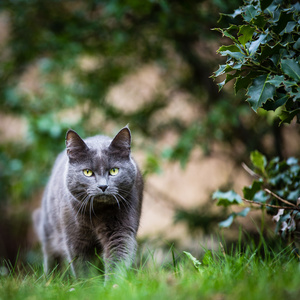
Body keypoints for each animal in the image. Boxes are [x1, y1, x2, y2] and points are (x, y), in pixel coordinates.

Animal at [33, 126, 144, 282]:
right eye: (87, 172)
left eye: (114, 171)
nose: (103, 186)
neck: (97, 214)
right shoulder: (75, 238)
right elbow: (82, 266)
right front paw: (88, 285)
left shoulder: (122, 229)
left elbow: (118, 258)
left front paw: (113, 285)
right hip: (49, 228)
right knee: (51, 256)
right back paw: (50, 280)